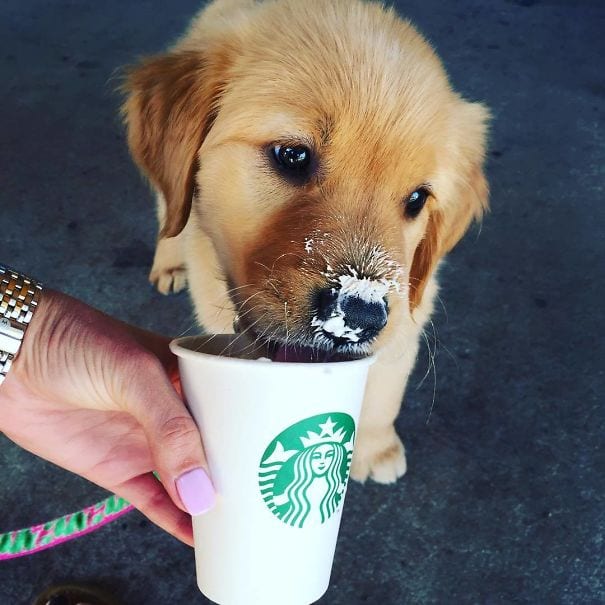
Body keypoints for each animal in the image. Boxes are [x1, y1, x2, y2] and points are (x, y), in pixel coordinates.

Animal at [120, 0, 488, 482]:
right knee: (169, 215)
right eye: (292, 155)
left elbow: (386, 386)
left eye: (416, 199)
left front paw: (376, 447)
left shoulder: (410, 308)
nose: (360, 316)